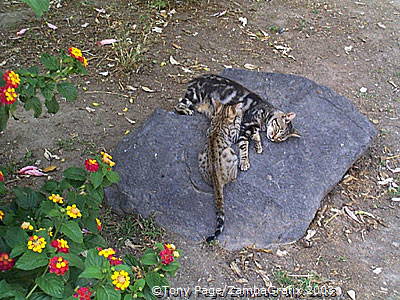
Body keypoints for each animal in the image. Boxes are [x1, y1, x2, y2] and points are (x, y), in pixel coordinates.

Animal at [198, 102, 242, 243]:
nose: (241, 109)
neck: (220, 120)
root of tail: (216, 180)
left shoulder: (209, 129)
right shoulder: (233, 135)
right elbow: (237, 128)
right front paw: (239, 119)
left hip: (201, 155)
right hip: (231, 153)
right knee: (232, 178)